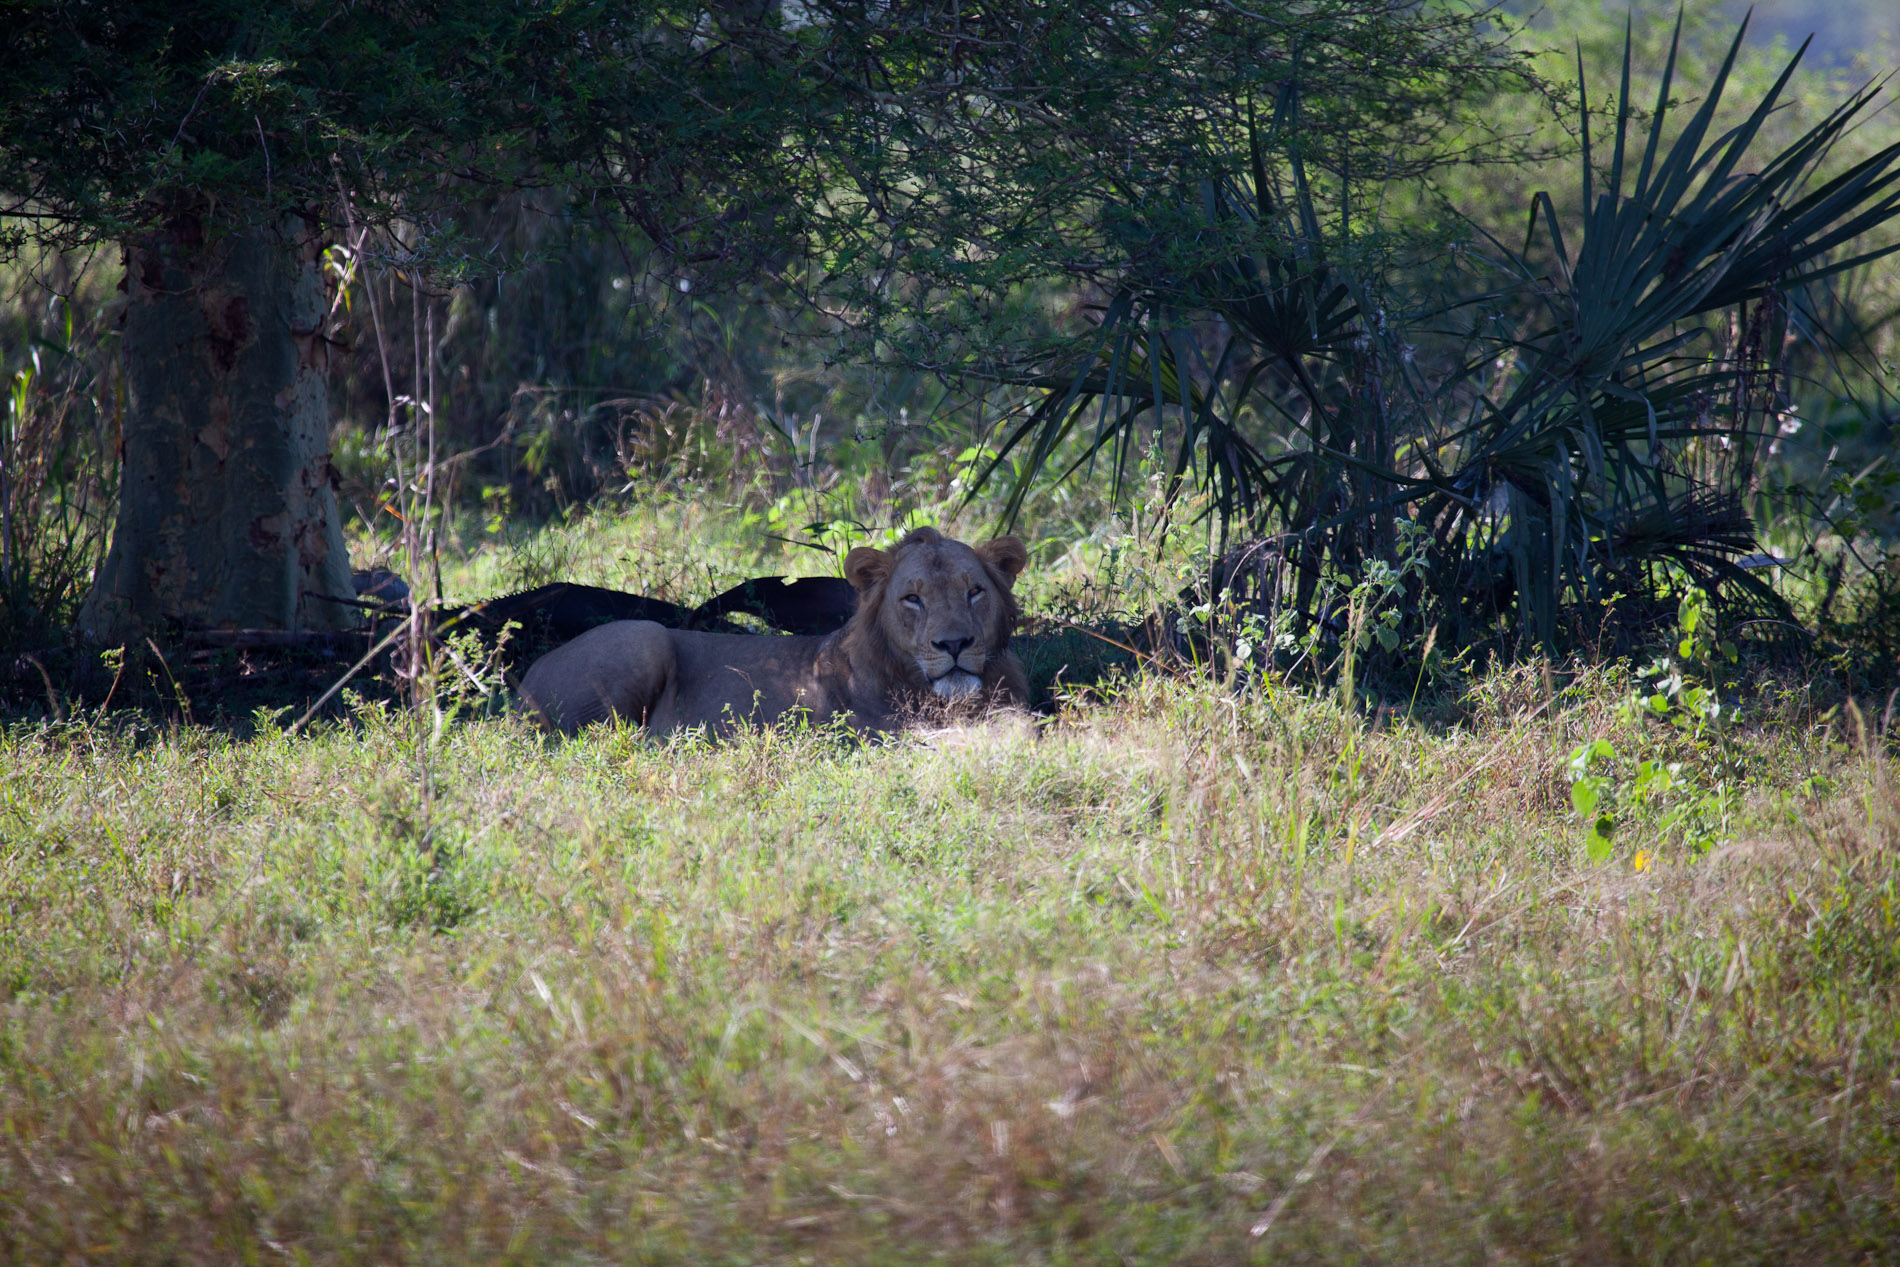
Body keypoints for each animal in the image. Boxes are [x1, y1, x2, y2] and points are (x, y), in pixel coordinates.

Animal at [513, 531, 1033, 737]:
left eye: (974, 592)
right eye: (913, 599)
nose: (954, 645)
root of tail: (524, 681)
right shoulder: (882, 735)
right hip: (646, 636)